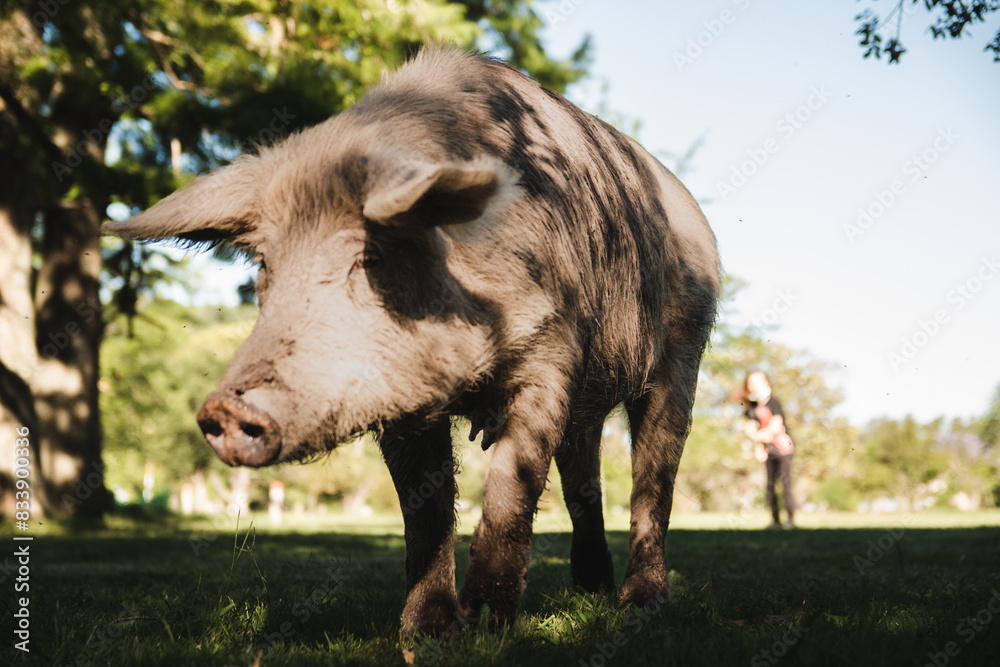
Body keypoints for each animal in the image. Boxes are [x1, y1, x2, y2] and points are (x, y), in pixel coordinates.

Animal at [105, 47, 720, 636]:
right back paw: (590, 592)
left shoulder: (553, 348)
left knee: (654, 478)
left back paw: (641, 603)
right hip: (592, 406)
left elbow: (511, 486)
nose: (223, 408)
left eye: (369, 258)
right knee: (582, 478)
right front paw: (428, 632)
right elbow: (423, 509)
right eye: (264, 267)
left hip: (685, 348)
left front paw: (486, 625)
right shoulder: (399, 393)